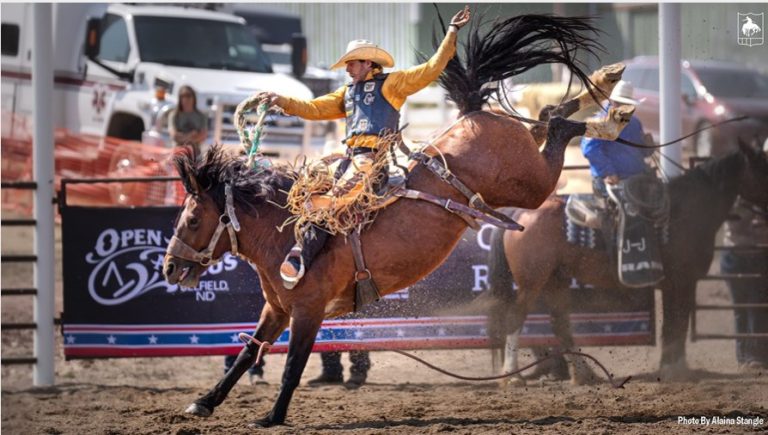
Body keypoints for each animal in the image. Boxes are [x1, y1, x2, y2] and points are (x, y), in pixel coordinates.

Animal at [164, 14, 632, 430]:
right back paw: (606, 87)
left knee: (558, 127)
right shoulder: (276, 308)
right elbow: (249, 352)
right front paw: (204, 402)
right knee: (547, 115)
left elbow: (293, 363)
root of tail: (469, 115)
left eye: (192, 218)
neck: (285, 238)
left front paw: (272, 417)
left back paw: (609, 117)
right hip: (523, 163)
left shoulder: (308, 310)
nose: (169, 267)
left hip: (532, 186)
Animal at [486, 143, 768, 384]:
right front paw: (673, 369)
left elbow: (675, 323)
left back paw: (584, 374)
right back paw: (513, 377)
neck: (683, 212)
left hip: (557, 279)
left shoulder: (678, 284)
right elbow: (676, 323)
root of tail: (520, 215)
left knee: (560, 324)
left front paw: (673, 367)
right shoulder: (681, 282)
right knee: (516, 318)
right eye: (764, 166)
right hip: (531, 282)